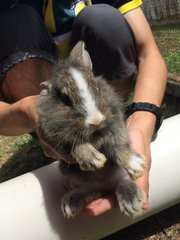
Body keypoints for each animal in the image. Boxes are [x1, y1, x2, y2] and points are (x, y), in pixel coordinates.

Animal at [37, 40, 147, 218]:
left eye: (97, 88)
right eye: (65, 99)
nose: (96, 120)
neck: (95, 134)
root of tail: (107, 185)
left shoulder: (117, 126)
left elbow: (118, 145)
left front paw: (136, 164)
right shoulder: (57, 140)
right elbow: (77, 147)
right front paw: (94, 159)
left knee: (122, 180)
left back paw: (131, 201)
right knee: (93, 190)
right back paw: (70, 204)